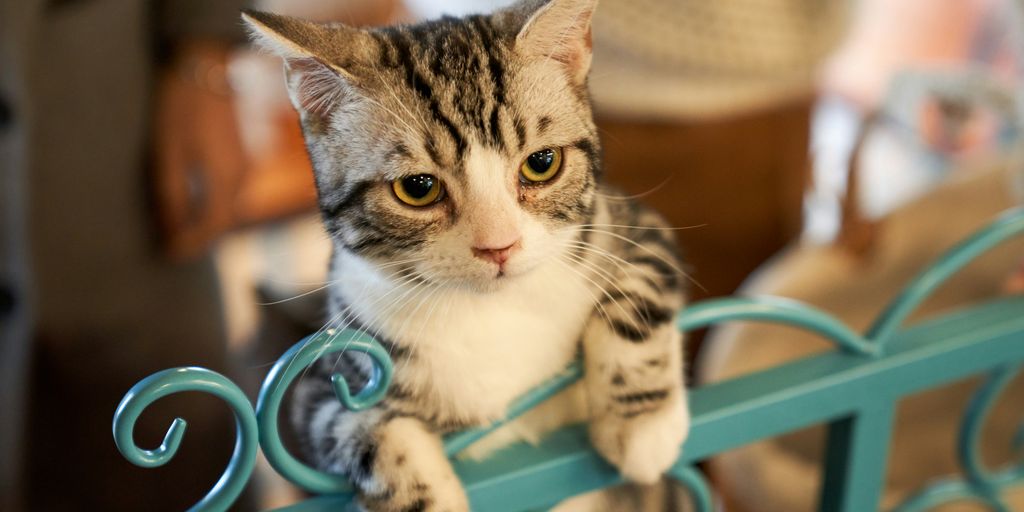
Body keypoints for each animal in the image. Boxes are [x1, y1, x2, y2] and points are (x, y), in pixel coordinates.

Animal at [241, 2, 688, 509]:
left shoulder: (630, 224)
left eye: (542, 163)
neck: (491, 312)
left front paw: (642, 426)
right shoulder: (327, 380)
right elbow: (355, 427)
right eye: (417, 188)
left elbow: (639, 293)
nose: (499, 246)